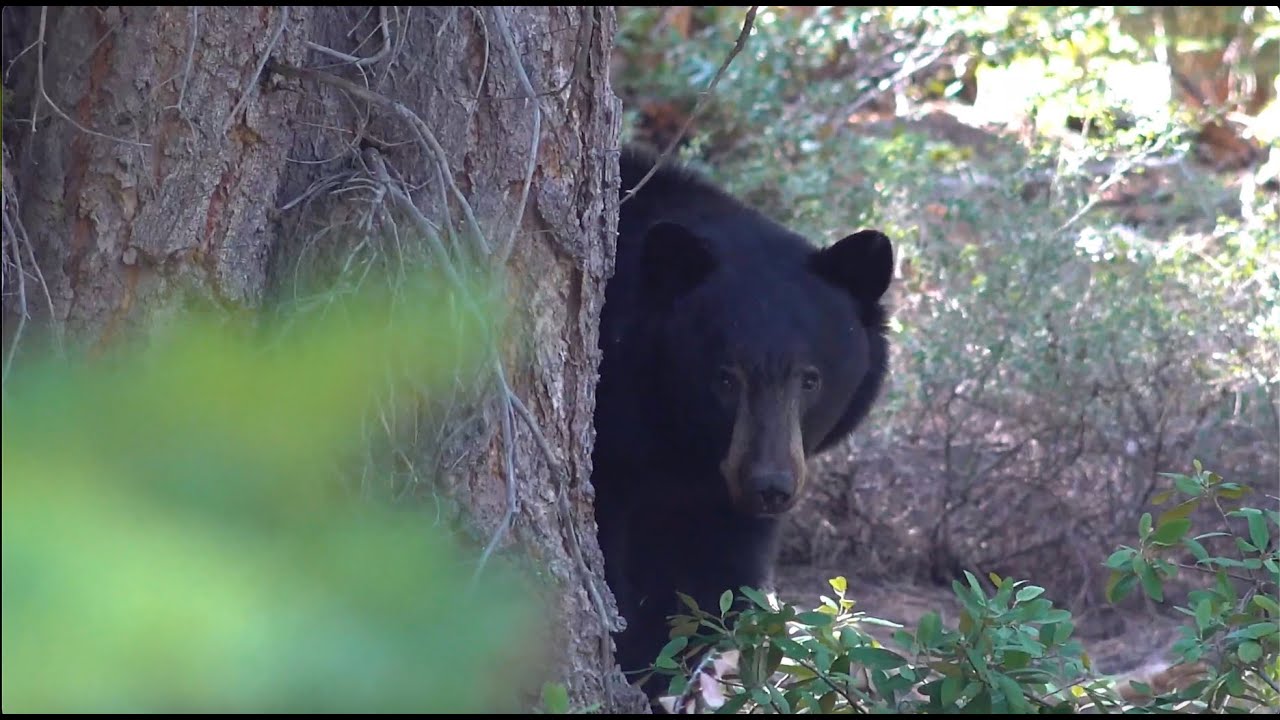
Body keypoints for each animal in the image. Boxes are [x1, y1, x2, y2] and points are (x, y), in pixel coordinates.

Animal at [591, 145, 894, 706]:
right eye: (725, 378)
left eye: (810, 379)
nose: (768, 486)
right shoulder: (615, 449)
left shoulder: (720, 497)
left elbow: (712, 585)